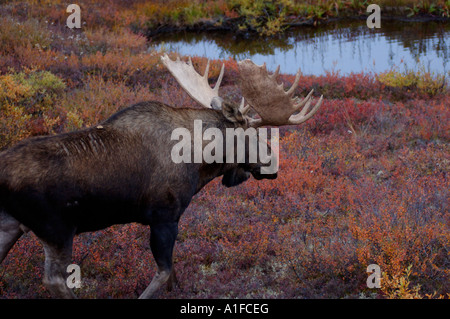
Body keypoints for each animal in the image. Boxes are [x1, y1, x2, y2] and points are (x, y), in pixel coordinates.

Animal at [0, 53, 324, 298]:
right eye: (253, 135)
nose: (273, 165)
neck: (200, 163)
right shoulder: (164, 215)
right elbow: (163, 272)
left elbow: (172, 274)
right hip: (56, 229)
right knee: (54, 280)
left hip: (10, 224)